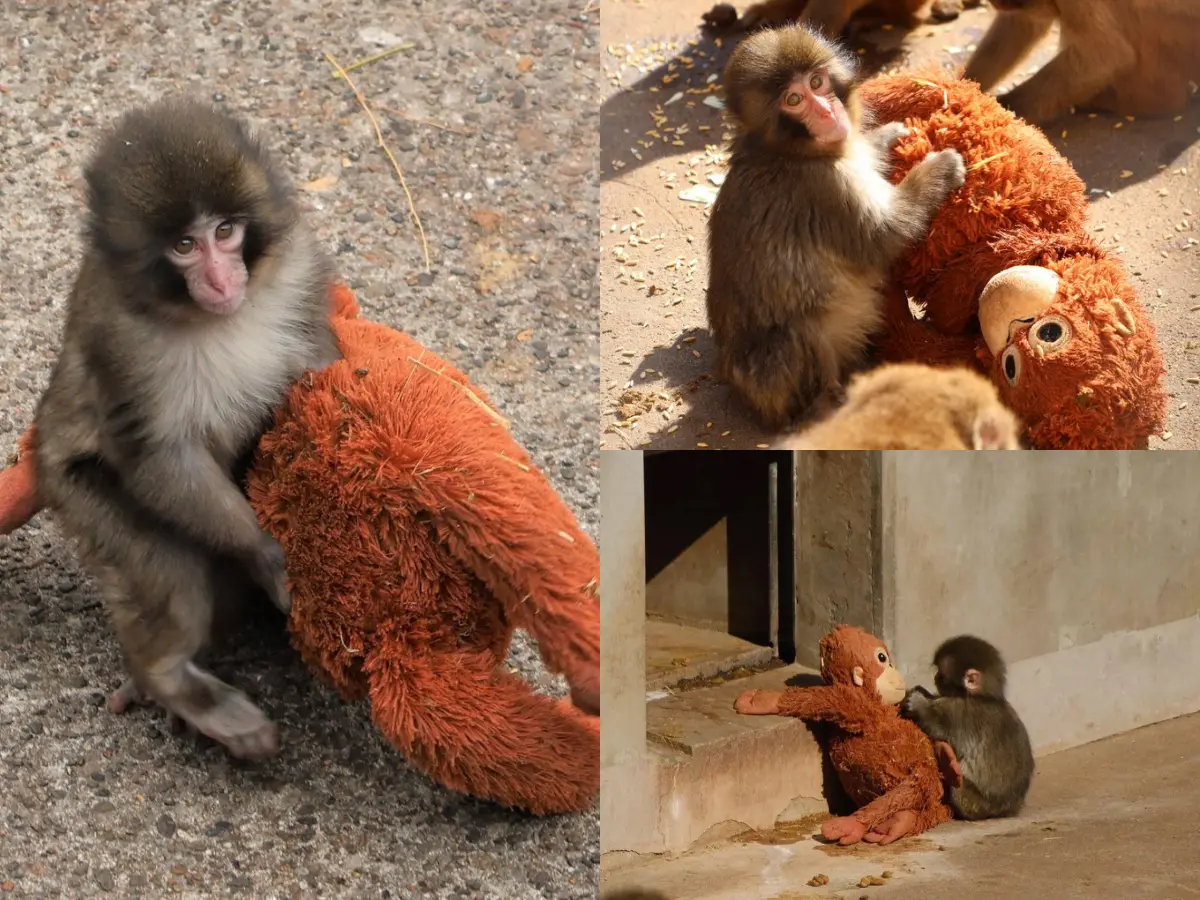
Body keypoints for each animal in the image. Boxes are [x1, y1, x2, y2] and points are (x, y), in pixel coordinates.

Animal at [32, 97, 341, 761]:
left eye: (225, 232)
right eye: (183, 245)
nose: (223, 281)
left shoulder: (298, 270)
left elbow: (320, 368)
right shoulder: (118, 339)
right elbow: (158, 456)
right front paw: (265, 552)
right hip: (77, 493)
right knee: (170, 572)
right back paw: (171, 681)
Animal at [706, 25, 966, 431]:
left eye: (817, 82)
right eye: (794, 99)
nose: (827, 111)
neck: (790, 151)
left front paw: (887, 136)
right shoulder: (824, 188)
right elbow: (883, 236)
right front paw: (939, 169)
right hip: (773, 381)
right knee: (796, 334)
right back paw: (826, 404)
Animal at [899, 635, 1035, 820]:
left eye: (941, 674)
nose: (935, 677)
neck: (982, 697)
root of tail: (1007, 810)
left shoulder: (959, 713)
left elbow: (937, 726)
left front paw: (918, 703)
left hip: (975, 804)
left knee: (958, 786)